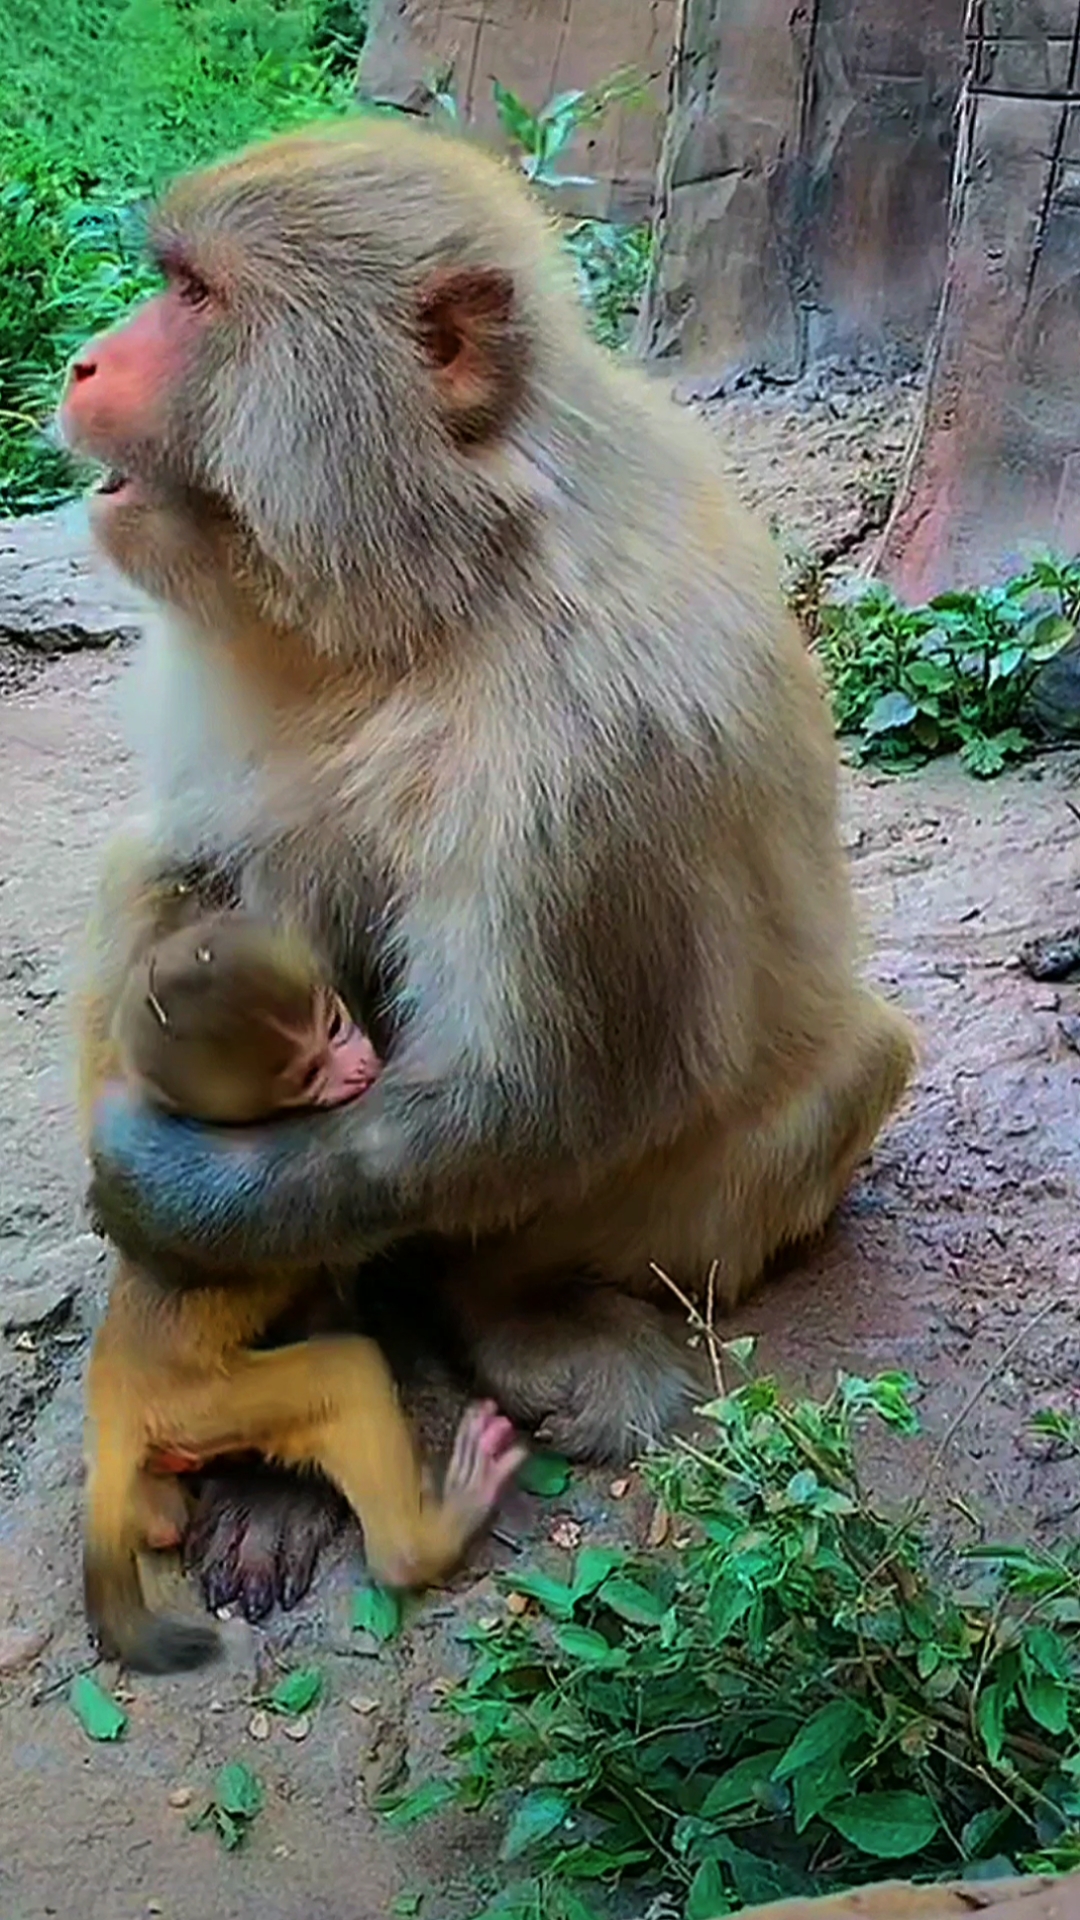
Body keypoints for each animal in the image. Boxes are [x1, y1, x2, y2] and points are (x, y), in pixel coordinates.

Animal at [84, 906, 522, 1674]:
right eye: (313, 1069)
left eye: (335, 1023)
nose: (361, 1062)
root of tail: (117, 1396)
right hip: (204, 1402)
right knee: (344, 1373)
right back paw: (421, 1543)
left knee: (160, 1513)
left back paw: (155, 1510)